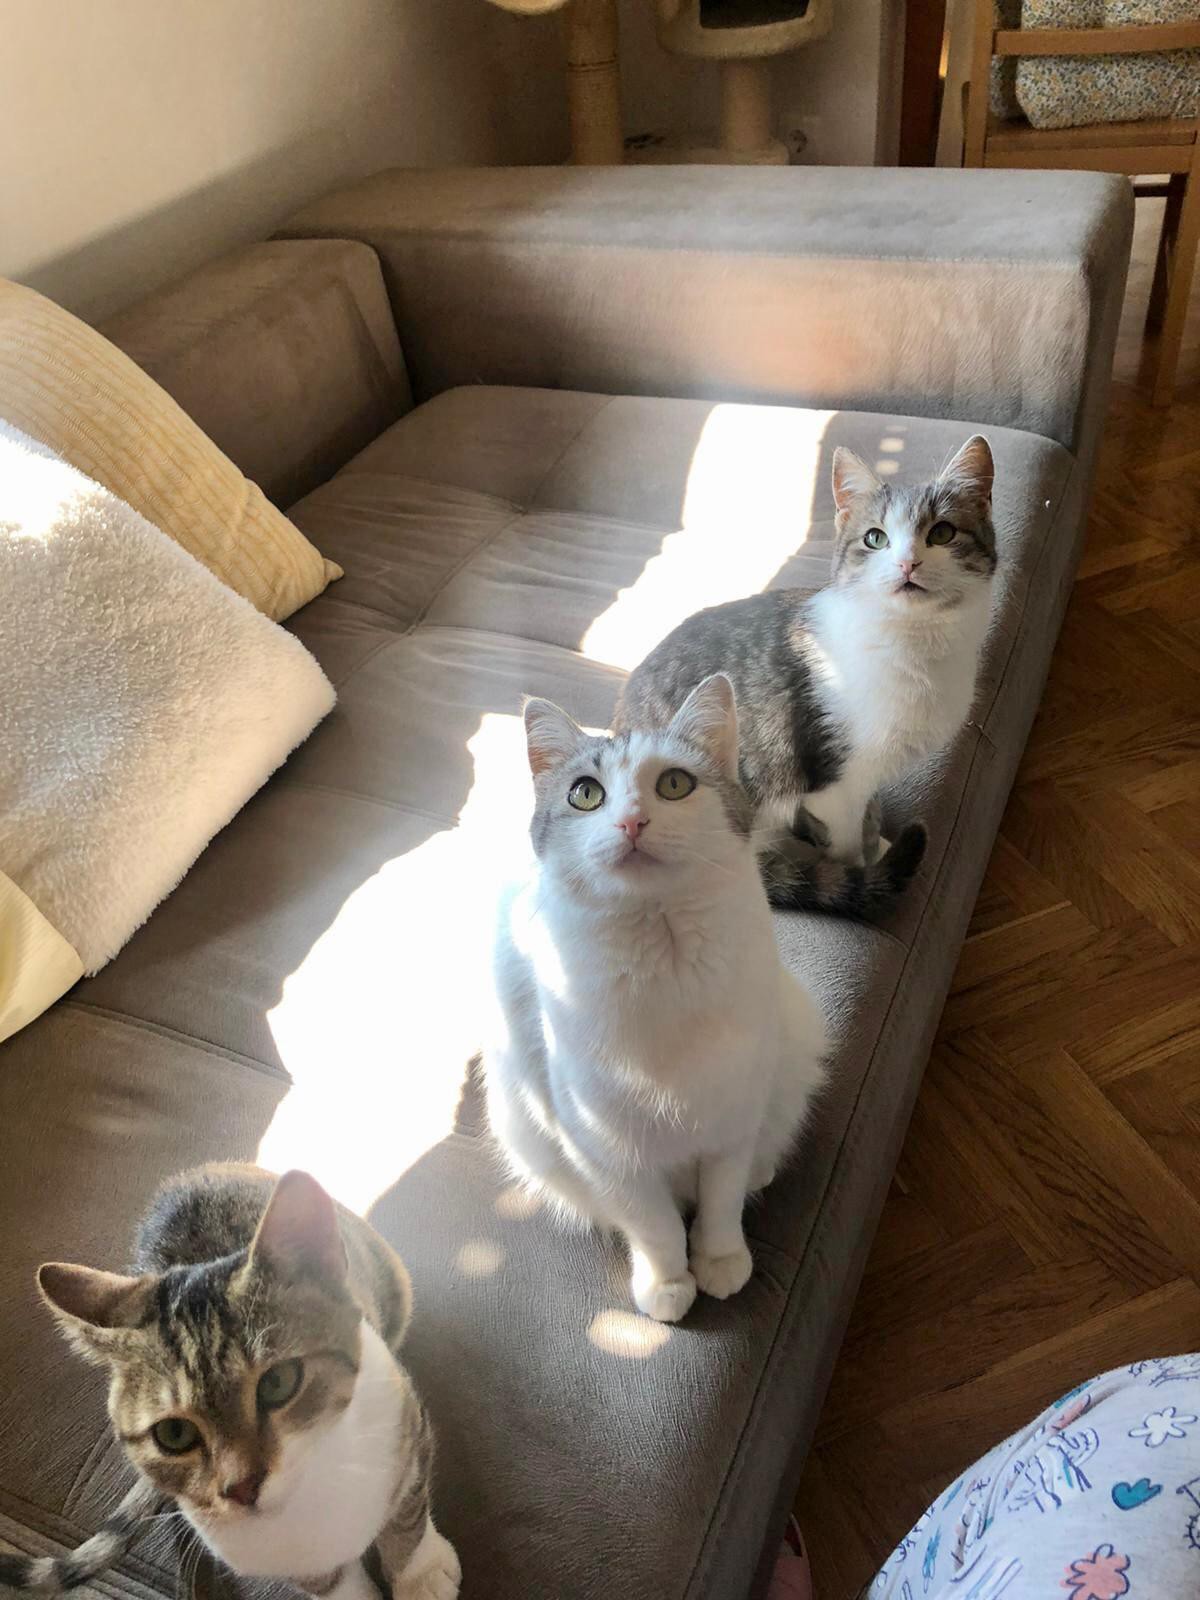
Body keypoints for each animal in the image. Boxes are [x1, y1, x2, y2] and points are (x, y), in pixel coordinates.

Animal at [1, 1164, 459, 1600]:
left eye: (278, 1383)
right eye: (174, 1433)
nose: (242, 1488)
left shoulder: (406, 1426)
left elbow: (407, 1517)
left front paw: (421, 1576)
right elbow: (327, 1580)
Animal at [484, 673, 827, 1324]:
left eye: (673, 784)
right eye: (585, 795)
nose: (632, 823)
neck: (662, 957)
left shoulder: (732, 1117)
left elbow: (720, 1205)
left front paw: (721, 1261)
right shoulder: (608, 1149)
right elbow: (655, 1226)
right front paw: (669, 1285)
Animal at [615, 435, 999, 914]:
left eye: (942, 533)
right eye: (876, 538)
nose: (908, 563)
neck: (914, 642)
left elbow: (868, 815)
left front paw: (878, 843)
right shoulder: (836, 781)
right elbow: (848, 844)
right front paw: (859, 873)